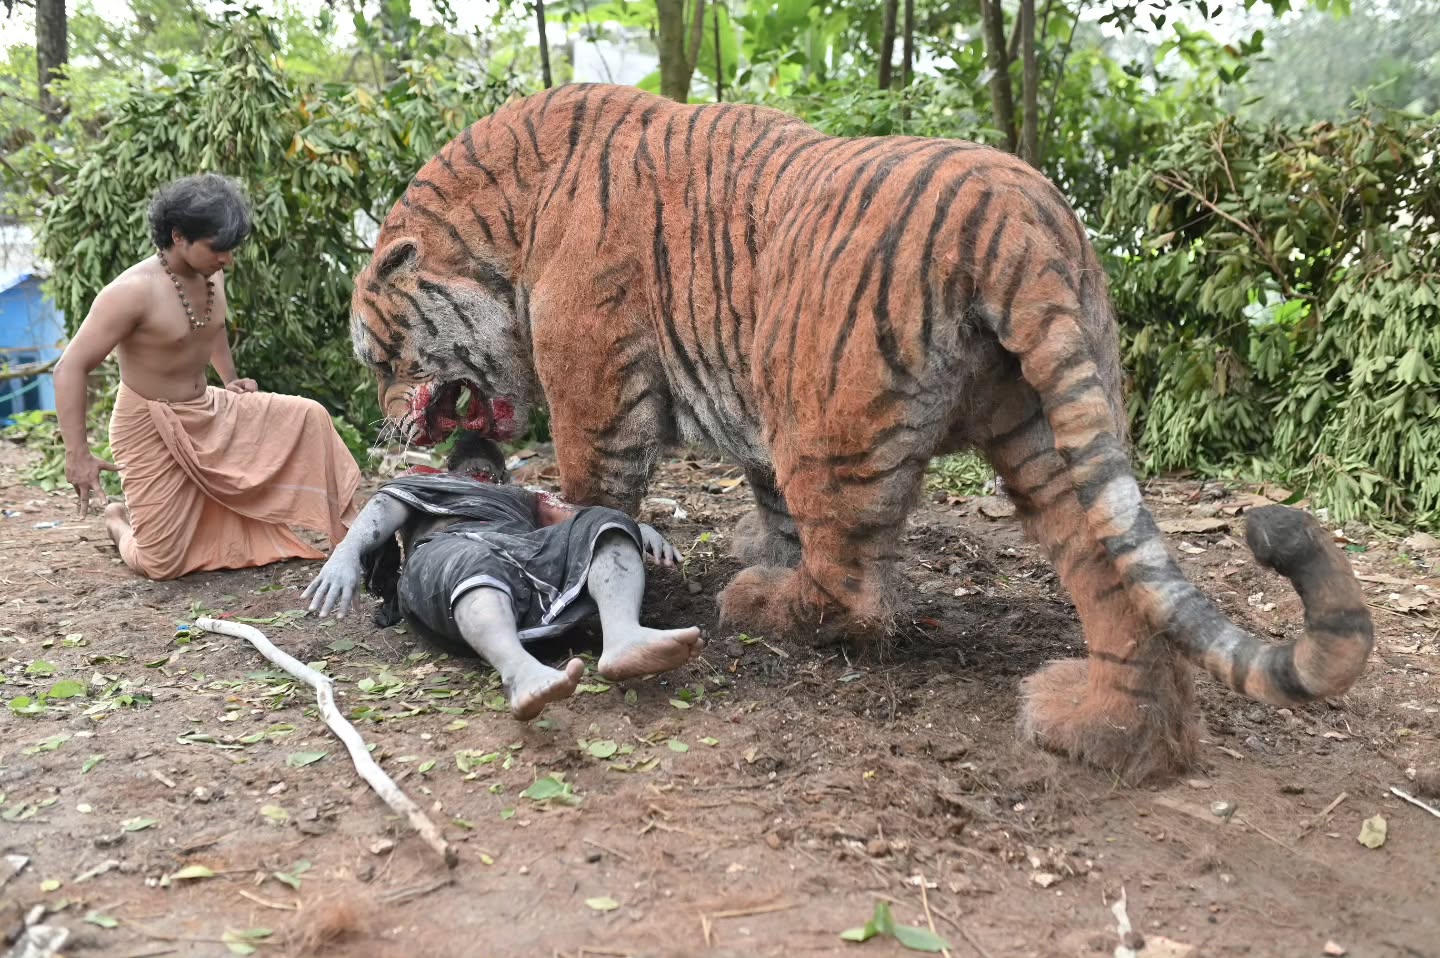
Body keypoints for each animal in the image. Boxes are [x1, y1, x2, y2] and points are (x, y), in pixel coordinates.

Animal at [350, 83, 1373, 783]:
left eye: (378, 355)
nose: (386, 421)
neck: (503, 229)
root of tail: (1013, 212)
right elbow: (762, 496)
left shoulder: (597, 389)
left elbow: (595, 497)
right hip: (1049, 424)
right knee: (1112, 576)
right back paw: (1105, 730)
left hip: (826, 421)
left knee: (854, 585)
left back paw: (764, 602)